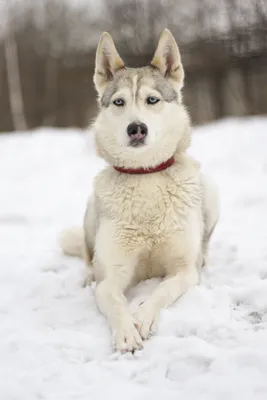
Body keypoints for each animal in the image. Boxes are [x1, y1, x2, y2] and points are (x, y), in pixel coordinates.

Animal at [60, 28, 220, 354]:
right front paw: (125, 332)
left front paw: (143, 317)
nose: (136, 128)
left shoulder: (184, 270)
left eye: (152, 99)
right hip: (91, 209)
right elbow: (113, 300)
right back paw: (87, 274)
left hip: (210, 191)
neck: (145, 175)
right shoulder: (112, 277)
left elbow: (162, 291)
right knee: (88, 255)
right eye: (119, 102)